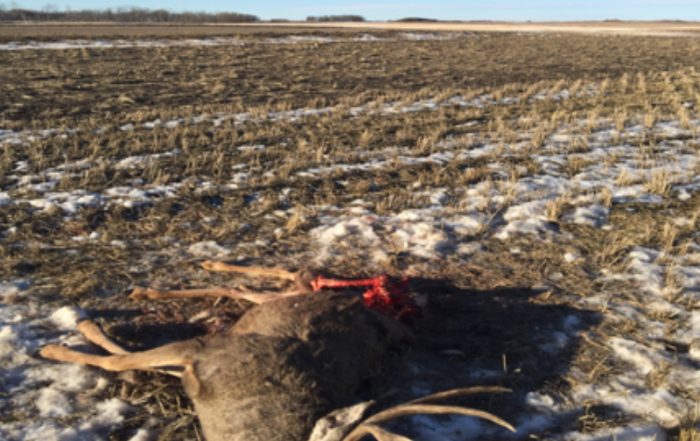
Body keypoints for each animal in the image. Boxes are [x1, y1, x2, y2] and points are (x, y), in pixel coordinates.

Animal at [40, 260, 515, 441]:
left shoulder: (200, 366)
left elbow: (127, 360)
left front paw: (77, 337)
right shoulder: (208, 349)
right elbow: (119, 358)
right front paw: (61, 343)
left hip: (277, 304)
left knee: (264, 284)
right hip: (278, 306)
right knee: (287, 274)